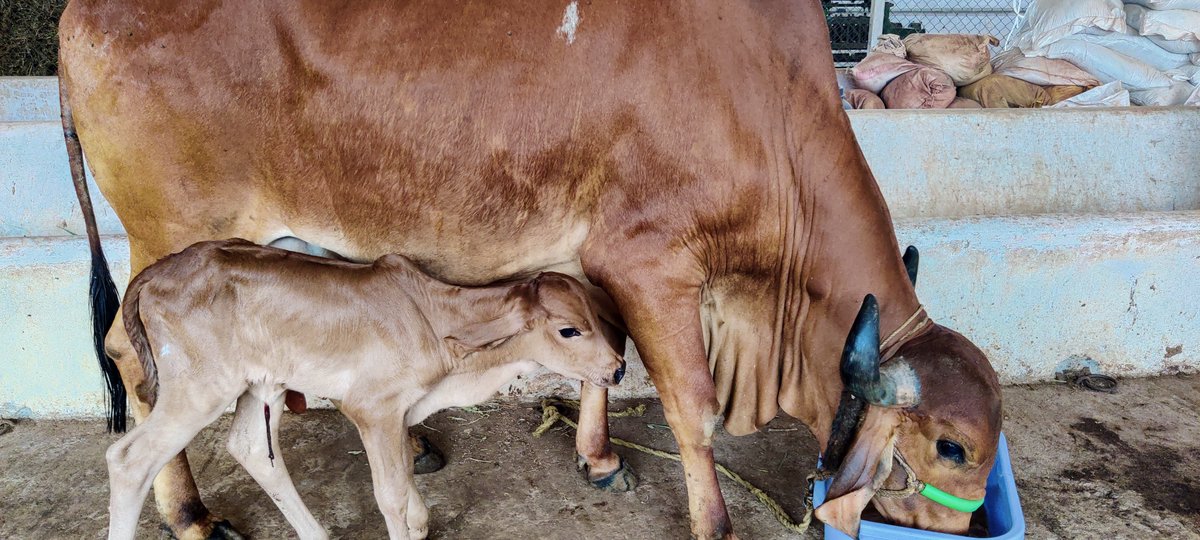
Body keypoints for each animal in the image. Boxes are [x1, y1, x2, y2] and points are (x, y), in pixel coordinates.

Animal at [106, 239, 625, 539]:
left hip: (262, 384)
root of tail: (156, 271)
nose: (619, 369)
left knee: (251, 447)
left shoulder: (400, 414)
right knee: (129, 459)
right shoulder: (372, 409)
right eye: (568, 330)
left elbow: (410, 490)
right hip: (198, 389)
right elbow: (391, 497)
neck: (432, 317)